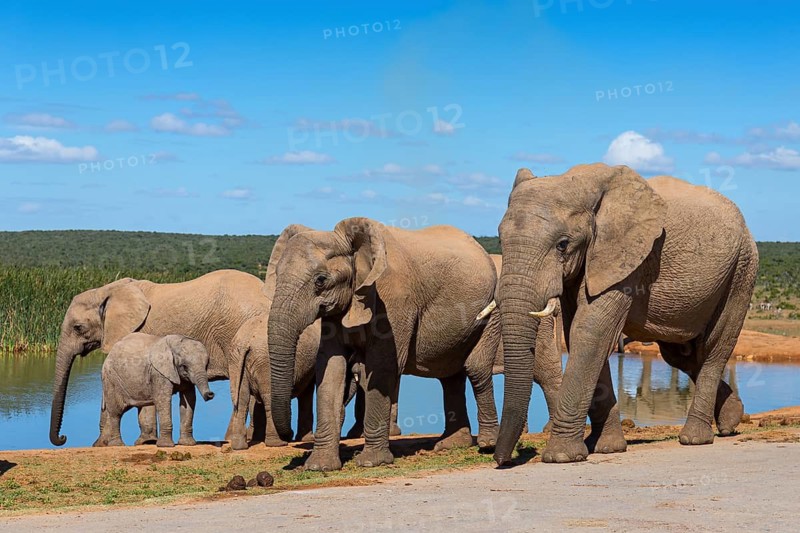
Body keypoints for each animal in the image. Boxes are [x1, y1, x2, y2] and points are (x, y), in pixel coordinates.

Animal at [267, 219, 505, 471]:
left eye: (320, 280)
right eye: (277, 275)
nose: (288, 435)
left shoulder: (393, 301)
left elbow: (382, 366)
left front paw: (371, 462)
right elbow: (331, 367)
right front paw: (319, 467)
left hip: (491, 311)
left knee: (475, 368)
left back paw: (487, 444)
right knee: (449, 376)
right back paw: (451, 445)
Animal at [493, 163, 758, 466]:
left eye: (562, 244)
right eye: (500, 239)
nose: (503, 460)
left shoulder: (628, 260)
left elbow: (590, 332)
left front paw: (561, 457)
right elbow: (579, 333)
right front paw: (606, 447)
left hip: (742, 271)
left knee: (715, 347)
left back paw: (695, 438)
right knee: (682, 355)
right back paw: (731, 418)